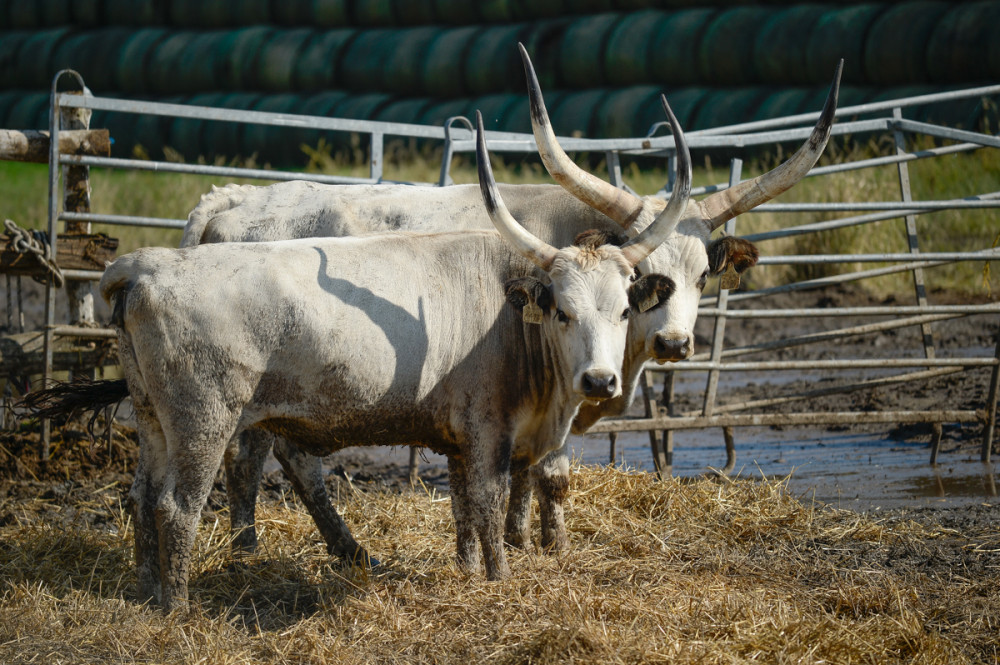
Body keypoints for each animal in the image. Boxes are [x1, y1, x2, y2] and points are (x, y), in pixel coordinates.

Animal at [88, 111, 688, 608]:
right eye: (563, 312)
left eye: (623, 311)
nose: (600, 380)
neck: (509, 317)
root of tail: (147, 266)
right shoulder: (488, 431)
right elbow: (490, 506)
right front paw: (499, 582)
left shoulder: (457, 439)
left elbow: (463, 510)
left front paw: (466, 573)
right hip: (204, 421)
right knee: (180, 504)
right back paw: (178, 606)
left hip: (152, 419)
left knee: (142, 495)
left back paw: (145, 590)